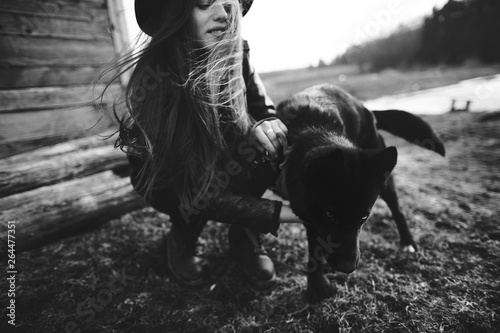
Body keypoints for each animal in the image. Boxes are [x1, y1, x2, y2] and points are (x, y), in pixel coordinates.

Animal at [274, 83, 446, 304]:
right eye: (330, 214)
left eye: (364, 216)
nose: (348, 268)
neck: (312, 131)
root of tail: (366, 109)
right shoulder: (312, 216)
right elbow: (315, 249)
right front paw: (317, 285)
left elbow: (316, 250)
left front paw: (316, 286)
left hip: (385, 181)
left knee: (397, 210)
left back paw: (407, 243)